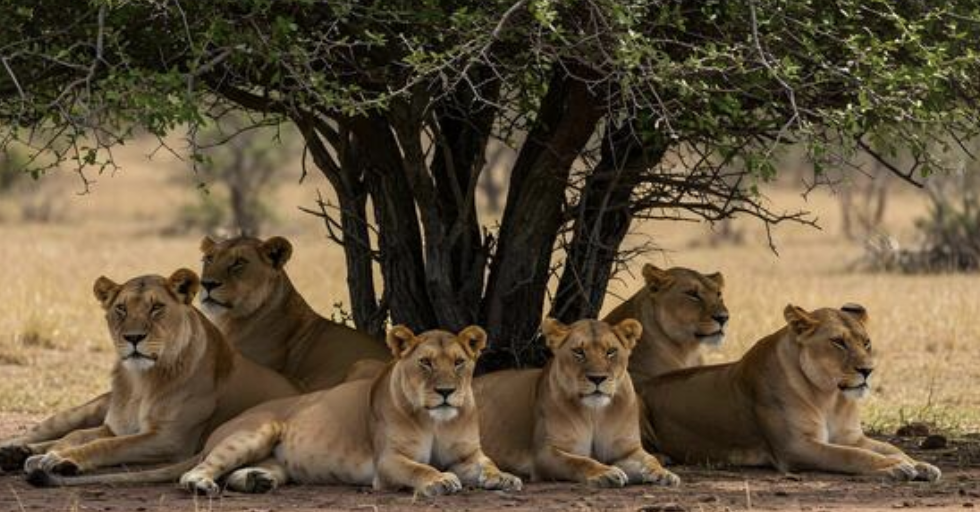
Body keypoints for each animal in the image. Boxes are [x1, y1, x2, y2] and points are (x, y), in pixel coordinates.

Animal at [19, 269, 298, 484]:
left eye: (156, 307)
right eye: (121, 308)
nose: (133, 337)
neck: (139, 382)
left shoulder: (170, 438)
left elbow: (108, 445)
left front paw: (61, 459)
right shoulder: (114, 427)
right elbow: (75, 435)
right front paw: (46, 455)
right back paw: (17, 450)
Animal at [41, 325, 523, 498]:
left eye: (458, 362)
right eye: (424, 362)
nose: (445, 392)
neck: (438, 421)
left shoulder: (469, 454)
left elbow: (485, 465)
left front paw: (505, 478)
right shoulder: (388, 463)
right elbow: (421, 469)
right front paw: (440, 481)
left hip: (275, 453)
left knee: (247, 471)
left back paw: (257, 481)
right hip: (258, 430)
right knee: (198, 471)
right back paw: (204, 485)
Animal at [473, 318, 679, 488]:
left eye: (611, 352)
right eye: (579, 352)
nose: (597, 378)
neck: (596, 413)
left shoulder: (627, 450)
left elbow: (649, 460)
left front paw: (664, 474)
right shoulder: (545, 453)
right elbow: (580, 461)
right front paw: (606, 473)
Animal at [639, 304, 941, 482]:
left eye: (866, 342)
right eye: (838, 342)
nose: (868, 370)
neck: (830, 397)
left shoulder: (851, 437)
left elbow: (891, 447)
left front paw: (919, 464)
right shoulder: (795, 446)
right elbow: (852, 456)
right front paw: (893, 467)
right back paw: (662, 457)